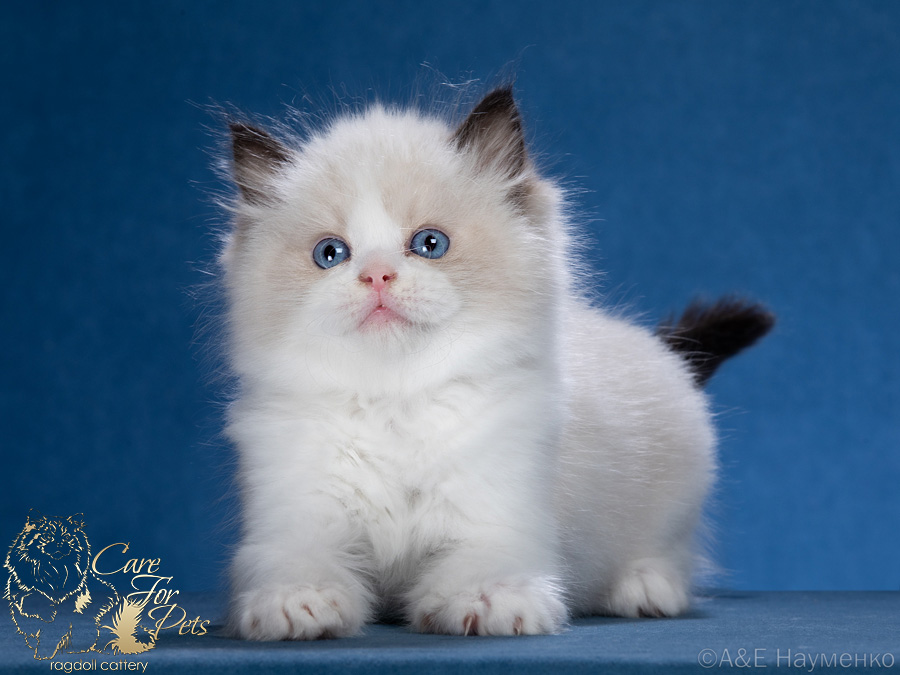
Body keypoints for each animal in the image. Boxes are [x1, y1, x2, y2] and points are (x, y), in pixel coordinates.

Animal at [220, 87, 772, 640]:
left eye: (430, 244)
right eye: (331, 254)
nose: (376, 275)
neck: (397, 400)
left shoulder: (499, 518)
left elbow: (482, 568)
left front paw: (484, 604)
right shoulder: (297, 515)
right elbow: (297, 563)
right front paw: (297, 603)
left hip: (679, 489)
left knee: (672, 556)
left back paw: (644, 590)